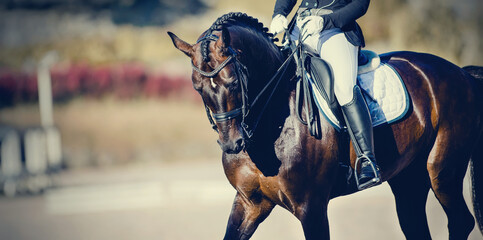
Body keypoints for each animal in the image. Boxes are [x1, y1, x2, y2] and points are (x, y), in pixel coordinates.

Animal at [169, 12, 483, 240]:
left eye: (233, 82)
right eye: (197, 87)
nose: (232, 144)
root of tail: (461, 73)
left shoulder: (311, 207)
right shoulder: (250, 202)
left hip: (442, 170)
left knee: (460, 221)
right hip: (408, 177)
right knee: (416, 224)